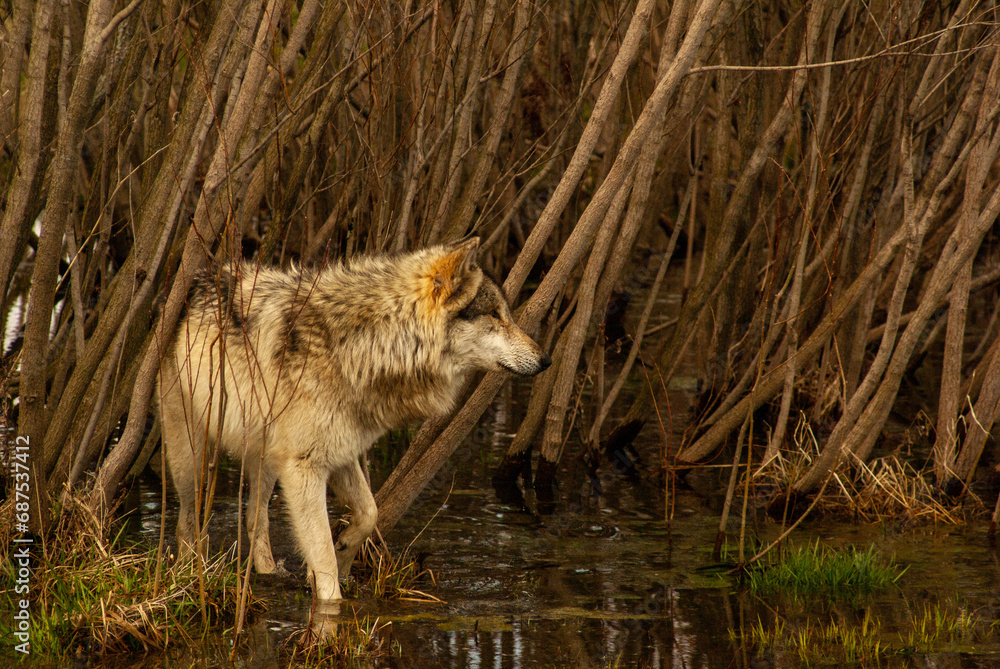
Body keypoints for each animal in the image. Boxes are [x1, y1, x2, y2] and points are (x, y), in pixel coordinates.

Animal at [157, 238, 550, 601]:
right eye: (495, 314)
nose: (546, 360)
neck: (368, 345)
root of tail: (196, 277)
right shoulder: (305, 468)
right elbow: (324, 562)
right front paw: (329, 605)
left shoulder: (342, 452)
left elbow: (369, 513)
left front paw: (344, 551)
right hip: (191, 459)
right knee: (188, 521)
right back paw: (190, 574)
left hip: (266, 460)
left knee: (256, 517)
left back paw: (268, 571)